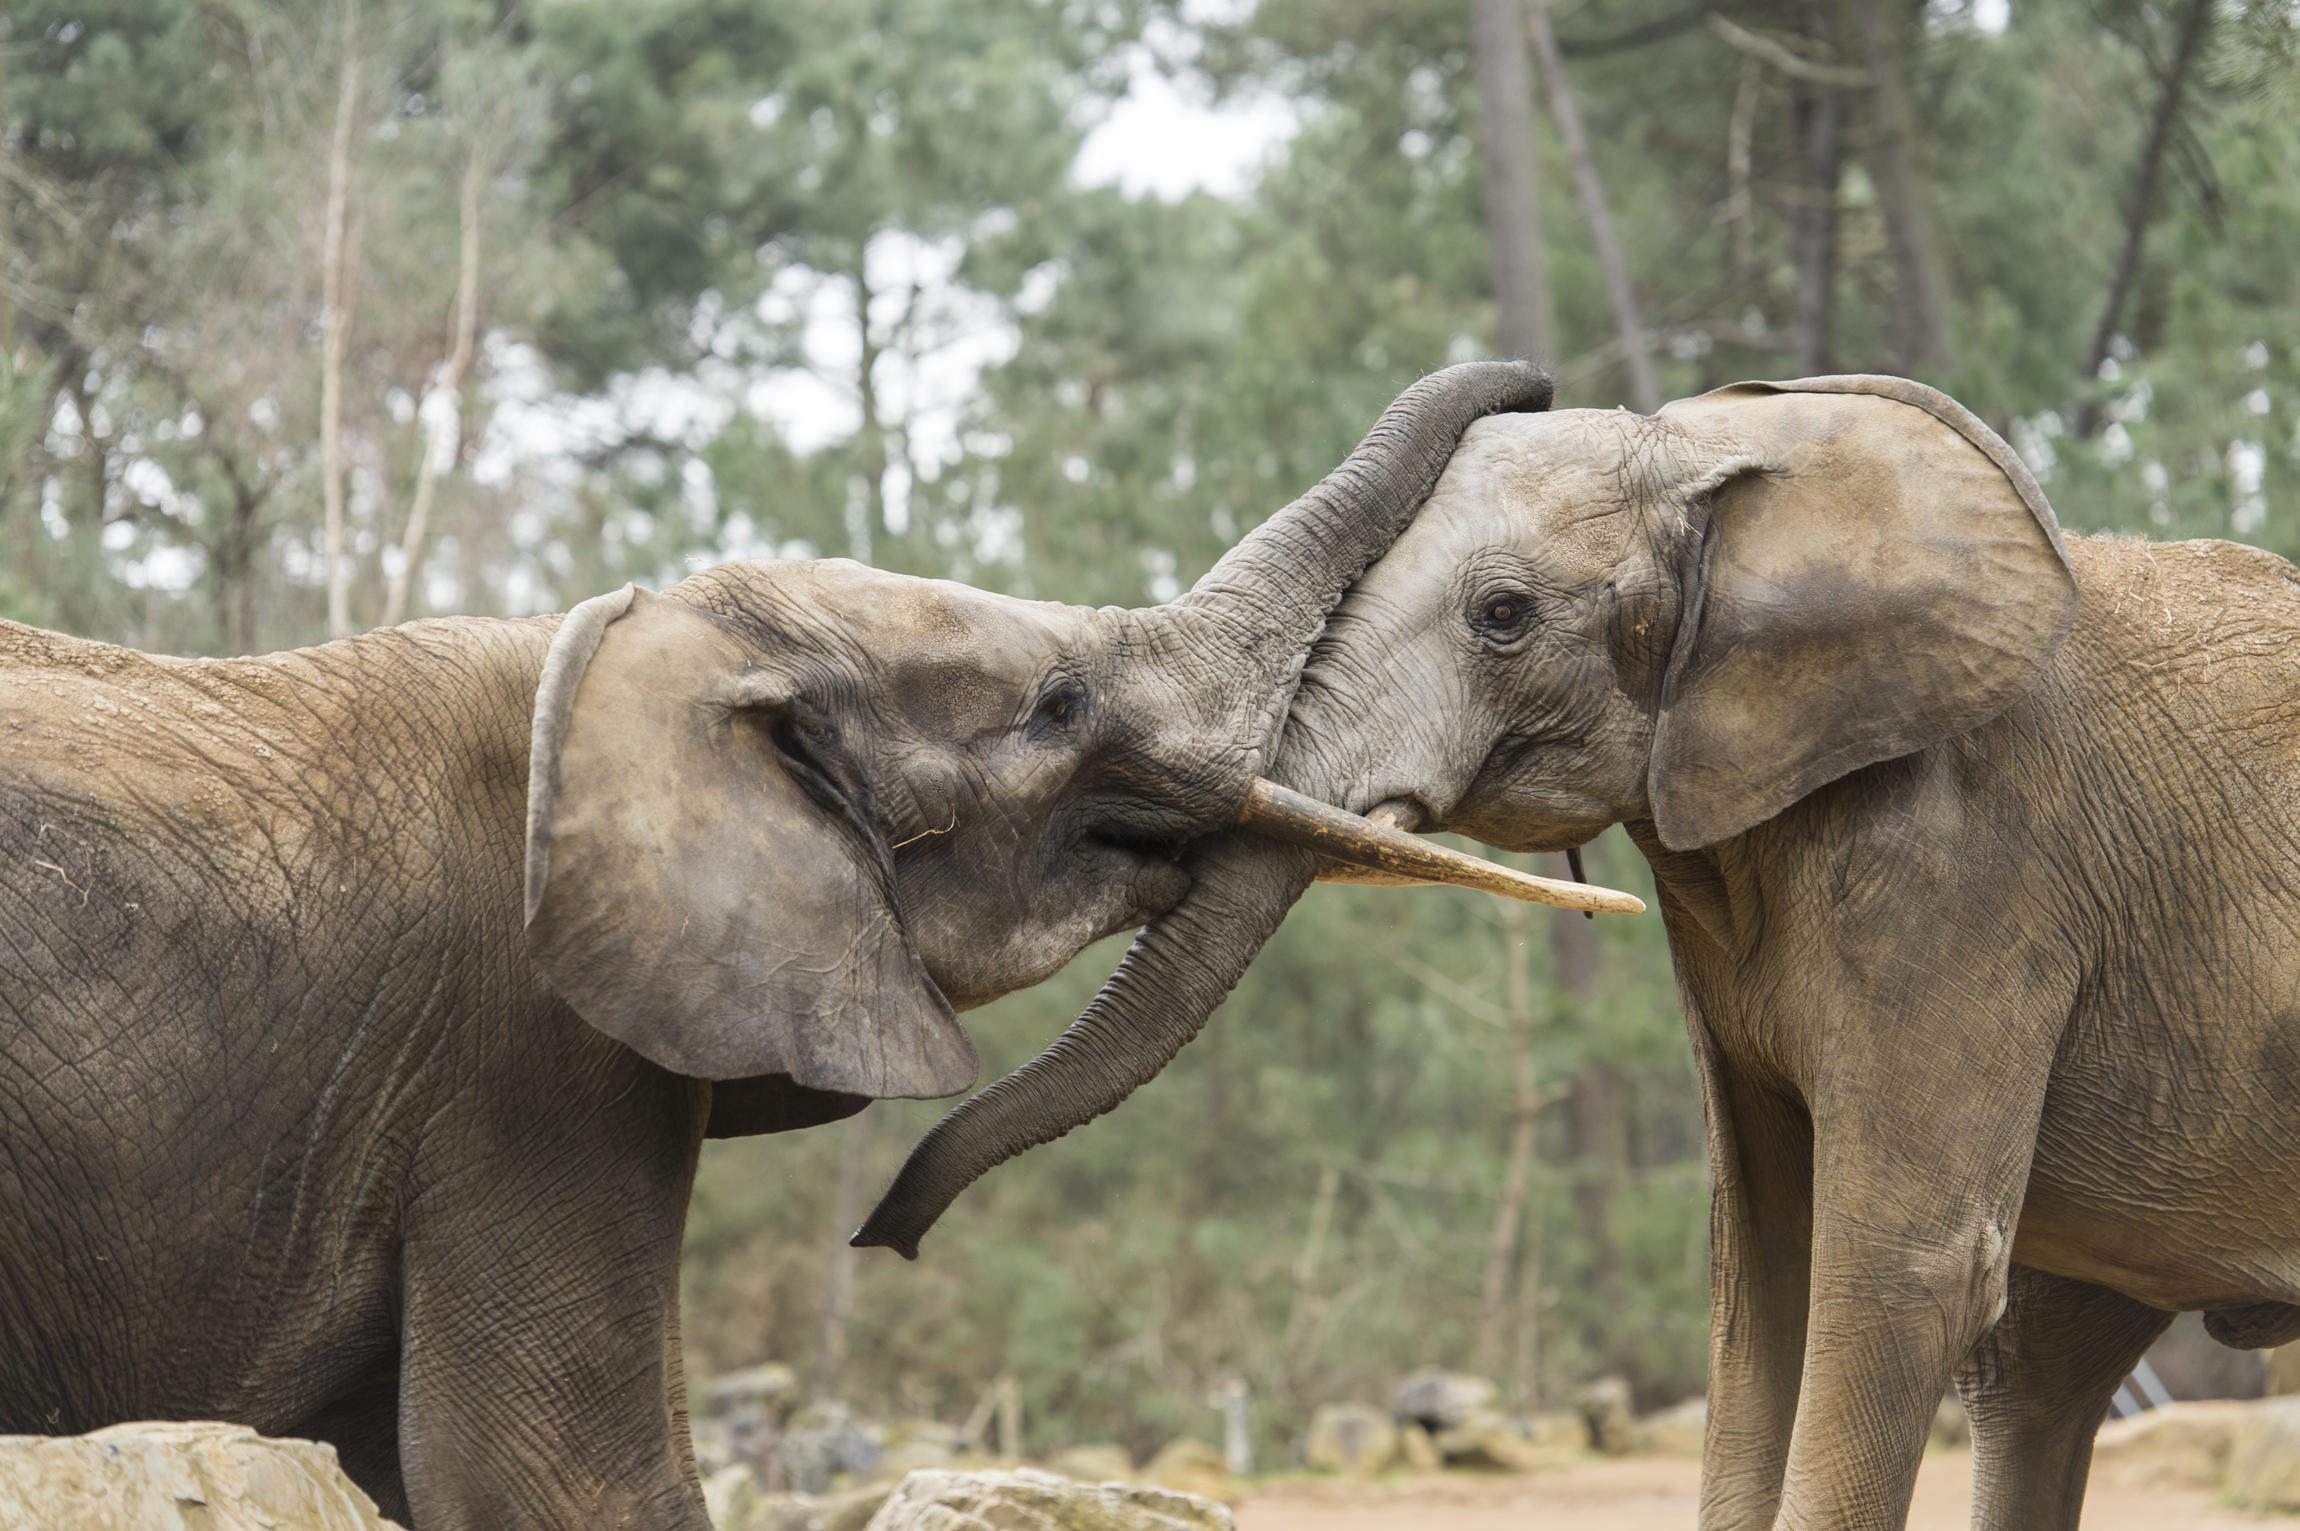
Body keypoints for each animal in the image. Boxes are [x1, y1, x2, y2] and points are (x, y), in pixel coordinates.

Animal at [855, 370, 2300, 1526]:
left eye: (1501, 614)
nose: (881, 1238)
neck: (1743, 468)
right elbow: (1760, 1267)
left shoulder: (1972, 862)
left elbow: (1904, 1268)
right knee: (2048, 1364)